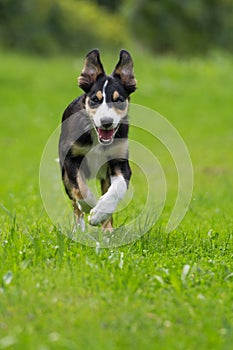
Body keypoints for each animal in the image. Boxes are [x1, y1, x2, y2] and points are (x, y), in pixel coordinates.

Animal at [58, 48, 137, 230]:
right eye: (95, 99)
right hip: (63, 174)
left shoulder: (120, 161)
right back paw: (79, 230)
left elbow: (118, 188)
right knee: (74, 204)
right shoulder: (71, 159)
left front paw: (100, 212)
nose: (106, 122)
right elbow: (80, 187)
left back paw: (107, 230)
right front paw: (90, 206)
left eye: (118, 100)